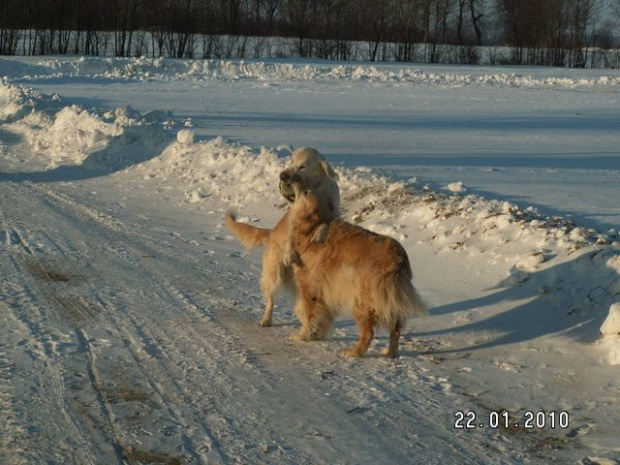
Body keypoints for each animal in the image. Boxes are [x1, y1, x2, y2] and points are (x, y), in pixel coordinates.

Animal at [224, 149, 340, 326]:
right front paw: (290, 253)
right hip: (273, 275)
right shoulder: (294, 218)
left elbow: (328, 222)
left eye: (302, 166)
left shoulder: (336, 212)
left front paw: (319, 232)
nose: (283, 176)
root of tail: (271, 233)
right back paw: (266, 319)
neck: (315, 187)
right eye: (291, 161)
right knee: (270, 300)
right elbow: (293, 233)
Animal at [286, 174, 426, 356]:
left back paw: (353, 353)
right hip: (388, 299)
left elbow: (309, 315)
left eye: (306, 191)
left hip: (360, 302)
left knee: (369, 333)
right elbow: (316, 315)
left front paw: (302, 336)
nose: (293, 178)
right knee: (395, 329)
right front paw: (315, 334)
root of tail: (397, 259)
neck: (312, 227)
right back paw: (389, 353)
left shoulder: (309, 288)